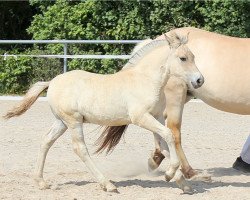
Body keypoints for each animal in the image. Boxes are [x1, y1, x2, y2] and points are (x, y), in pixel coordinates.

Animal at [3, 32, 203, 194]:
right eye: (183, 58)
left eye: (193, 56)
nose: (200, 80)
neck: (146, 79)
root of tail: (51, 82)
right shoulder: (141, 118)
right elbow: (169, 136)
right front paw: (171, 174)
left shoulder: (157, 117)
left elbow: (163, 146)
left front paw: (181, 183)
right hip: (73, 121)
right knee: (80, 149)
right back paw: (108, 185)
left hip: (61, 122)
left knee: (46, 141)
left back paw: (41, 182)